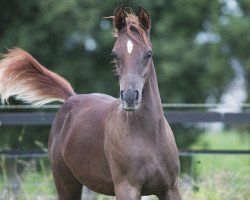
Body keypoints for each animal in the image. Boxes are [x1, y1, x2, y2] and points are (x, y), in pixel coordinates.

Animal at [0, 5, 183, 199]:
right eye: (114, 54)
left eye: (149, 53)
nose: (129, 97)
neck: (149, 136)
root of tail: (71, 97)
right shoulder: (127, 188)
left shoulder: (171, 188)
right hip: (66, 184)